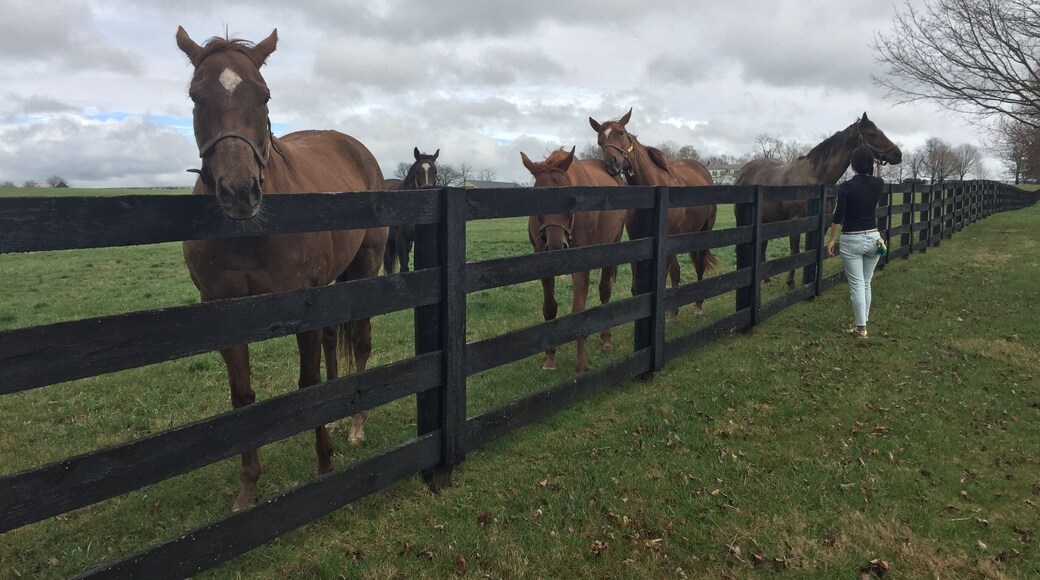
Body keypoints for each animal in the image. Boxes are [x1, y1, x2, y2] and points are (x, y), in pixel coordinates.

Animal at [176, 27, 387, 511]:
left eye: (264, 95)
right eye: (196, 96)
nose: (240, 192)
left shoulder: (300, 306)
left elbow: (307, 384)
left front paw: (324, 464)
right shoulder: (223, 312)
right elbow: (243, 396)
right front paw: (247, 488)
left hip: (366, 267)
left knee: (360, 340)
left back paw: (356, 423)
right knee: (333, 343)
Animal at [520, 147, 627, 374]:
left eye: (568, 199)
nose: (556, 246)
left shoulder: (581, 265)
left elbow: (578, 308)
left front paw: (581, 364)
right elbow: (549, 307)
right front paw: (549, 358)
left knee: (605, 291)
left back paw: (605, 339)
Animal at [589, 108, 719, 320]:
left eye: (621, 133)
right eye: (600, 140)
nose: (611, 164)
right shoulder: (638, 241)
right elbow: (638, 288)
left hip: (704, 232)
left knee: (698, 266)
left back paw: (698, 305)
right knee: (677, 271)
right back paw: (674, 311)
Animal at [734, 112, 902, 289]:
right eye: (873, 134)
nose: (898, 154)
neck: (816, 177)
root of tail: (743, 170)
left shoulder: (824, 222)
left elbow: (816, 250)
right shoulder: (796, 221)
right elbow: (795, 252)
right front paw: (791, 283)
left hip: (766, 220)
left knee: (763, 245)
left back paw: (765, 279)